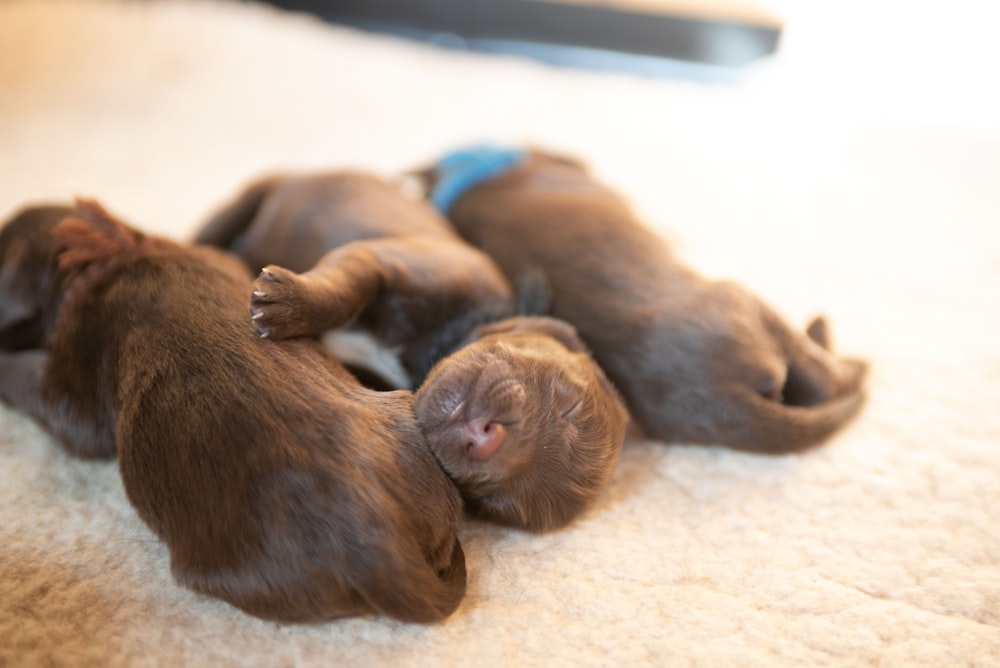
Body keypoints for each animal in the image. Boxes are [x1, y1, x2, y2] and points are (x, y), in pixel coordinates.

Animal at [197, 174, 624, 532]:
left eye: (495, 503)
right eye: (567, 402)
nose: (485, 441)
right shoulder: (387, 260)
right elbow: (346, 289)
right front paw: (289, 304)